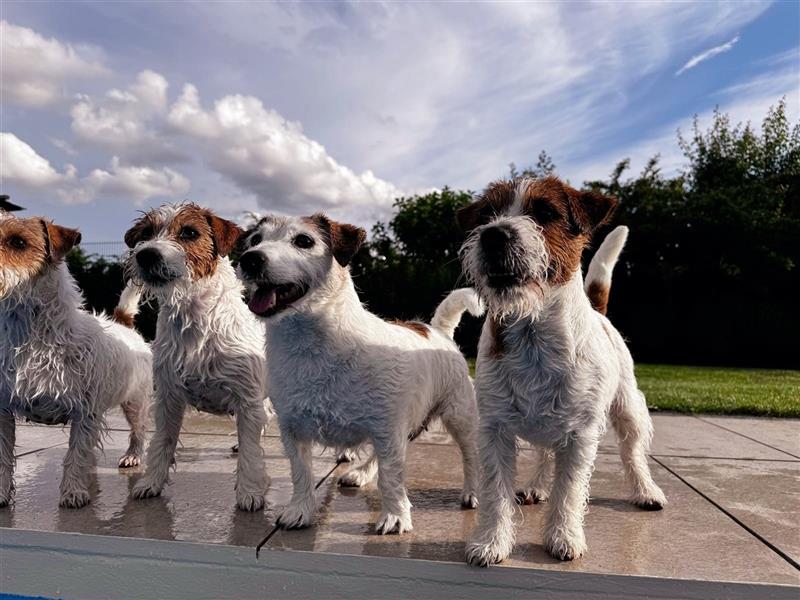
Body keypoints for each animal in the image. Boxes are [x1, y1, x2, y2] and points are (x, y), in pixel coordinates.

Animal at [0, 211, 152, 506]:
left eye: (18, 242)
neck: (30, 336)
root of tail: (123, 325)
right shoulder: (2, 410)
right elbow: (2, 458)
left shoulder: (85, 412)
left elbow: (75, 455)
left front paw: (73, 491)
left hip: (135, 402)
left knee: (138, 430)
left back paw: (132, 455)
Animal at [124, 204, 272, 508]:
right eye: (146, 233)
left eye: (189, 233)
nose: (146, 254)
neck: (196, 318)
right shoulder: (168, 397)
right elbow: (162, 443)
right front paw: (151, 482)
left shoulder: (247, 398)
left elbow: (251, 454)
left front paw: (250, 491)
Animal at [238, 213, 484, 532]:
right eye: (255, 240)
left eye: (304, 241)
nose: (249, 260)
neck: (312, 345)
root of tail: (437, 331)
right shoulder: (292, 430)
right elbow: (301, 473)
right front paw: (299, 510)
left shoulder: (386, 426)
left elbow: (391, 477)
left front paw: (395, 516)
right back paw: (361, 473)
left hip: (458, 416)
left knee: (470, 456)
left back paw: (472, 491)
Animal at [460, 176, 664, 564]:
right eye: (488, 214)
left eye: (545, 213)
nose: (494, 235)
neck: (533, 332)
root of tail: (600, 313)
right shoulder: (494, 430)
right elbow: (495, 492)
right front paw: (491, 542)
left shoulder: (580, 434)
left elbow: (568, 490)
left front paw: (563, 537)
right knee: (543, 454)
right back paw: (536, 486)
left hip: (628, 408)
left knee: (633, 453)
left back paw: (646, 491)